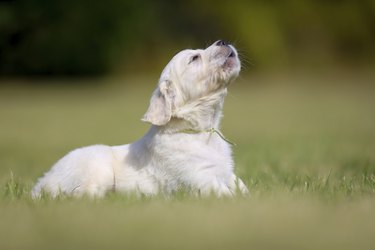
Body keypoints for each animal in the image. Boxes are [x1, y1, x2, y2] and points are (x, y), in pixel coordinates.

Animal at [32, 40, 250, 198]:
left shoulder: (226, 173)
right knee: (81, 195)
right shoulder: (200, 179)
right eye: (195, 58)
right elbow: (226, 194)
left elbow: (241, 186)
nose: (223, 41)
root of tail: (42, 182)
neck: (201, 132)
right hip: (97, 169)